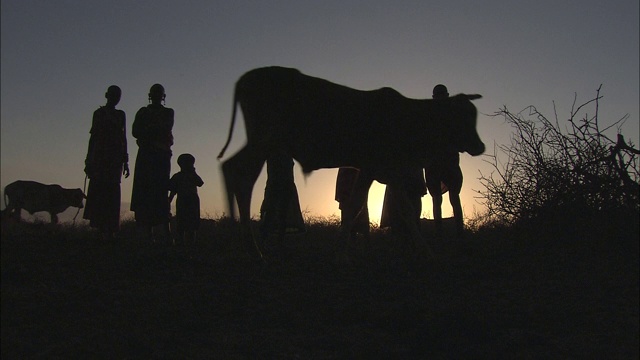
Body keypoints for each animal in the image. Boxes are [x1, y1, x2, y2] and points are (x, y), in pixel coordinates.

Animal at [216, 66, 484, 260]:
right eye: (461, 115)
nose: (480, 146)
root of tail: (245, 78)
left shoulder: (388, 171)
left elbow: (401, 211)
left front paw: (426, 251)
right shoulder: (371, 167)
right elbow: (355, 206)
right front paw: (341, 251)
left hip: (262, 142)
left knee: (232, 170)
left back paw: (238, 241)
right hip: (265, 141)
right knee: (239, 176)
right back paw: (247, 245)